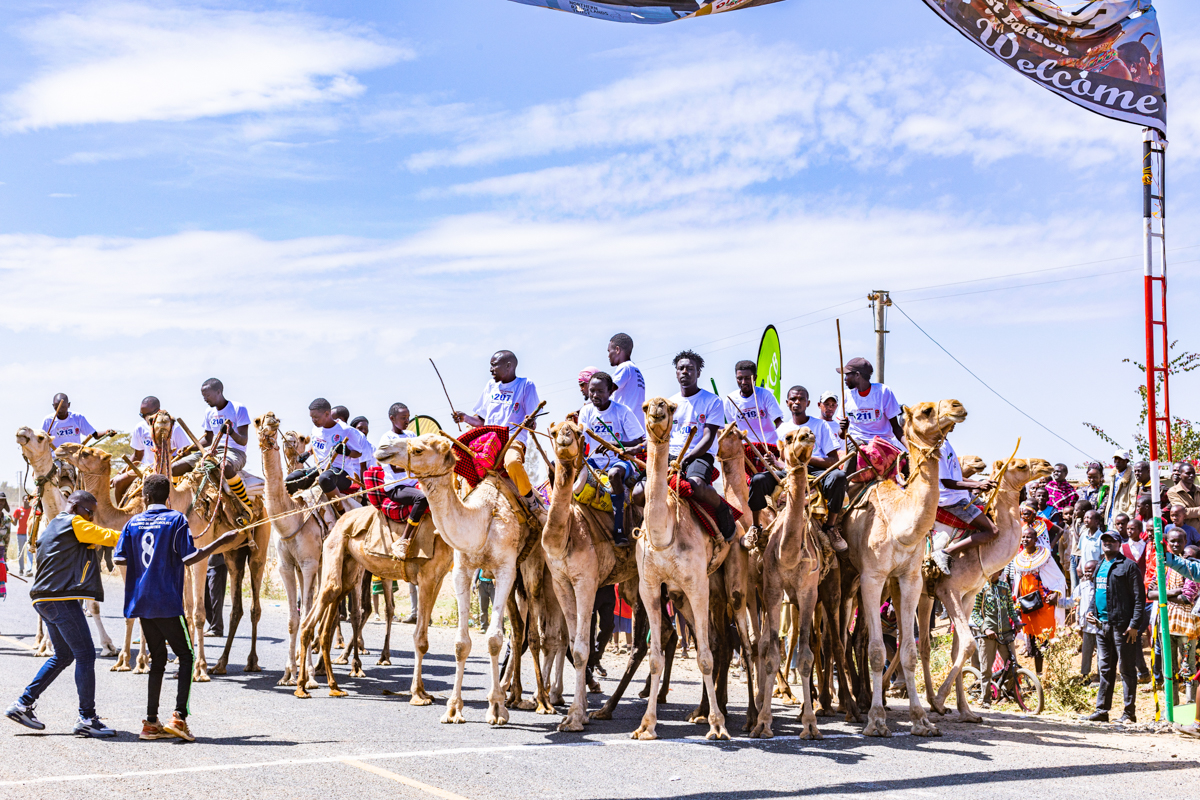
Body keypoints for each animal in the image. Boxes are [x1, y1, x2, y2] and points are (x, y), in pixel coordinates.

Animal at [15, 429, 118, 662]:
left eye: (41, 437)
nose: (21, 432)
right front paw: (46, 645)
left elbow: (93, 603)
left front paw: (108, 646)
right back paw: (39, 641)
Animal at [374, 431, 540, 724]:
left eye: (418, 449)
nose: (382, 448)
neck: (484, 519)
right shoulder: (462, 569)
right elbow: (462, 643)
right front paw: (453, 709)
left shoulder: (505, 569)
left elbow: (494, 639)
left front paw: (496, 709)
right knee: (519, 628)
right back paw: (513, 692)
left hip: (531, 566)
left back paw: (540, 700)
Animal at [844, 398, 964, 738]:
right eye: (925, 411)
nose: (957, 406)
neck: (901, 525)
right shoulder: (872, 577)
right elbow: (877, 651)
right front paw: (876, 721)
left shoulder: (909, 579)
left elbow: (909, 650)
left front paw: (921, 720)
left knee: (853, 639)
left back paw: (858, 700)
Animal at [916, 453, 1051, 724]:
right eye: (1020, 465)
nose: (1046, 465)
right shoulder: (948, 590)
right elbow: (969, 644)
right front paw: (940, 699)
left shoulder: (967, 595)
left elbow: (958, 649)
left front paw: (964, 711)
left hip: (923, 594)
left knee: (921, 644)